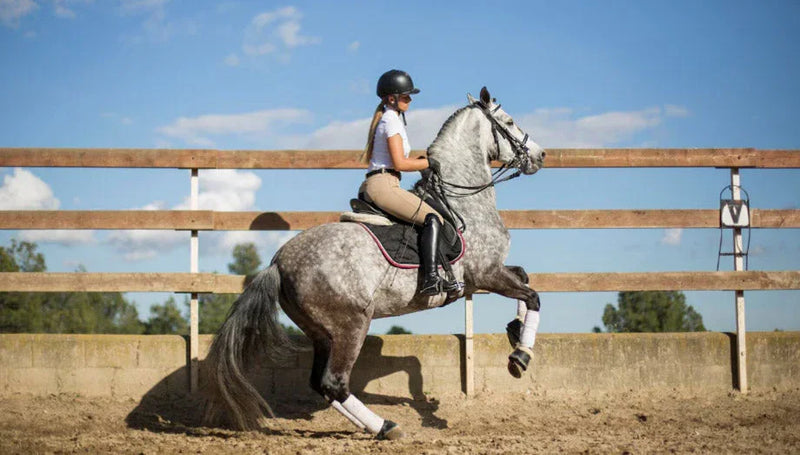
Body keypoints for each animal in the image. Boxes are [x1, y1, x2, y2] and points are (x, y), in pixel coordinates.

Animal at [203, 87, 546, 440]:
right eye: (509, 122)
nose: (540, 155)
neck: (462, 200)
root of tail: (278, 263)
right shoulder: (486, 273)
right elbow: (533, 296)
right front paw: (520, 356)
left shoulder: (487, 275)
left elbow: (525, 277)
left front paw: (516, 333)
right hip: (352, 323)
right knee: (334, 382)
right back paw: (387, 427)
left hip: (322, 333)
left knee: (322, 384)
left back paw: (378, 426)